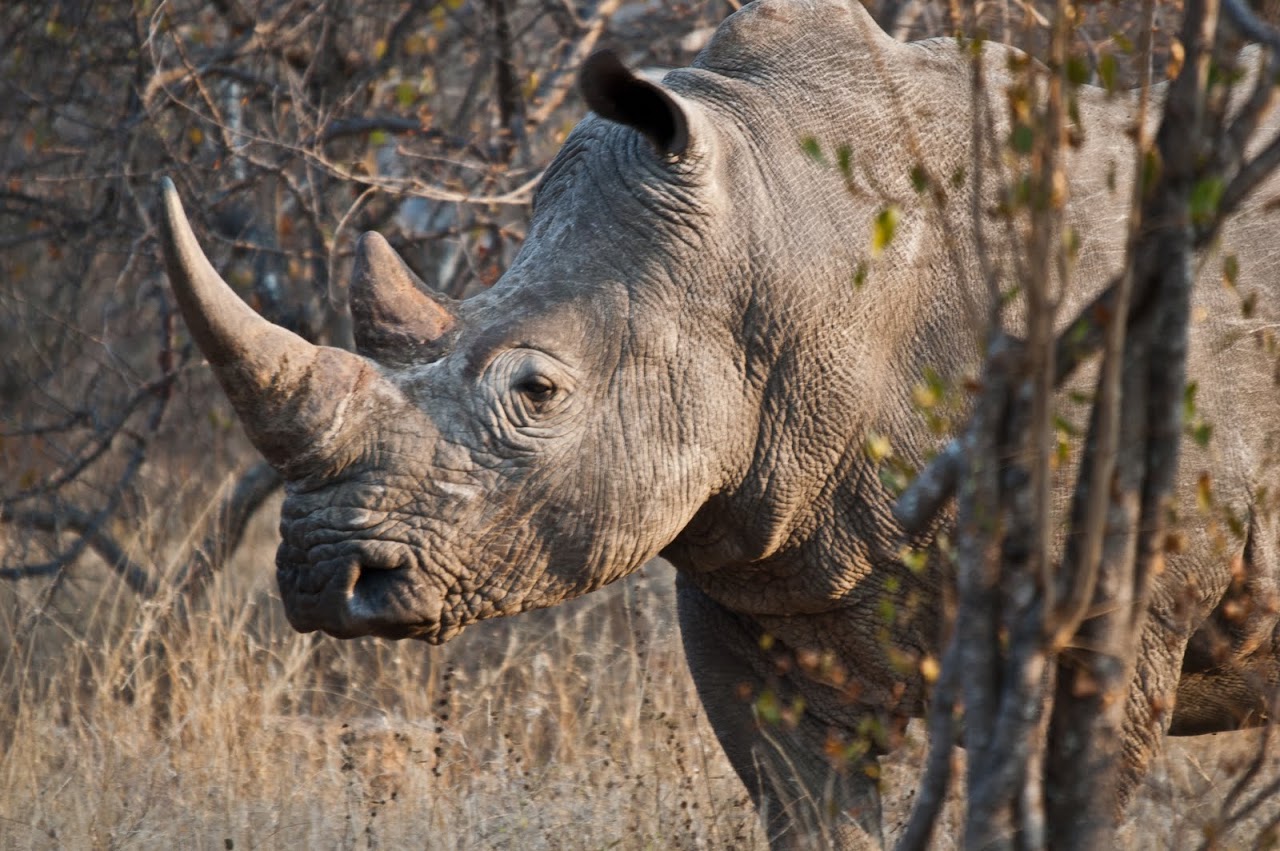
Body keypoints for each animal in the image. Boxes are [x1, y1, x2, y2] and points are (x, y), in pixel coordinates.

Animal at [157, 0, 1280, 846]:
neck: (786, 252)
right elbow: (804, 806)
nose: (321, 576)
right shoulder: (760, 573)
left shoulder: (1110, 598)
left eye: (537, 393)